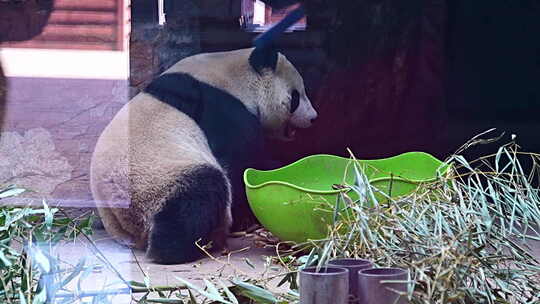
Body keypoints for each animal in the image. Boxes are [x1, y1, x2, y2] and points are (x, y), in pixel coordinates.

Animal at [88, 45, 316, 264]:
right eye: (296, 96)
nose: (313, 117)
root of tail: (128, 227)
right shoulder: (221, 109)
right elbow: (243, 161)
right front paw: (244, 217)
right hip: (154, 179)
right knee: (200, 194)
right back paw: (177, 250)